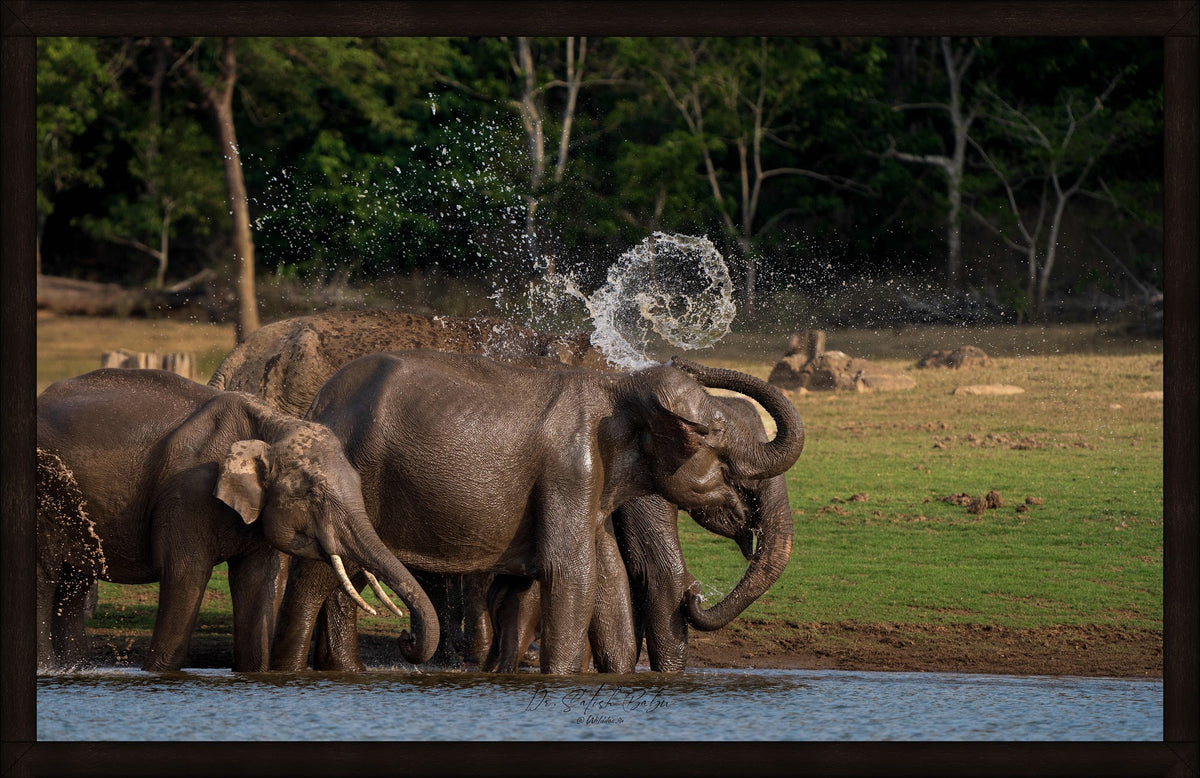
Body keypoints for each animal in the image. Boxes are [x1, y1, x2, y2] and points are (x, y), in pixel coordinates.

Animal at [35, 368, 438, 672]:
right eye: (314, 495)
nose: (406, 637)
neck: (272, 427)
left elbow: (259, 582)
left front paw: (252, 674)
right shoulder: (187, 493)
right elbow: (187, 574)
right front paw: (158, 674)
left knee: (73, 585)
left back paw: (74, 668)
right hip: (47, 495)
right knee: (46, 577)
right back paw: (50, 669)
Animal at [208, 309, 800, 672]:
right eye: (727, 462)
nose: (681, 357)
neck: (612, 371)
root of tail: (230, 363)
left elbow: (612, 569)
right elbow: (649, 570)